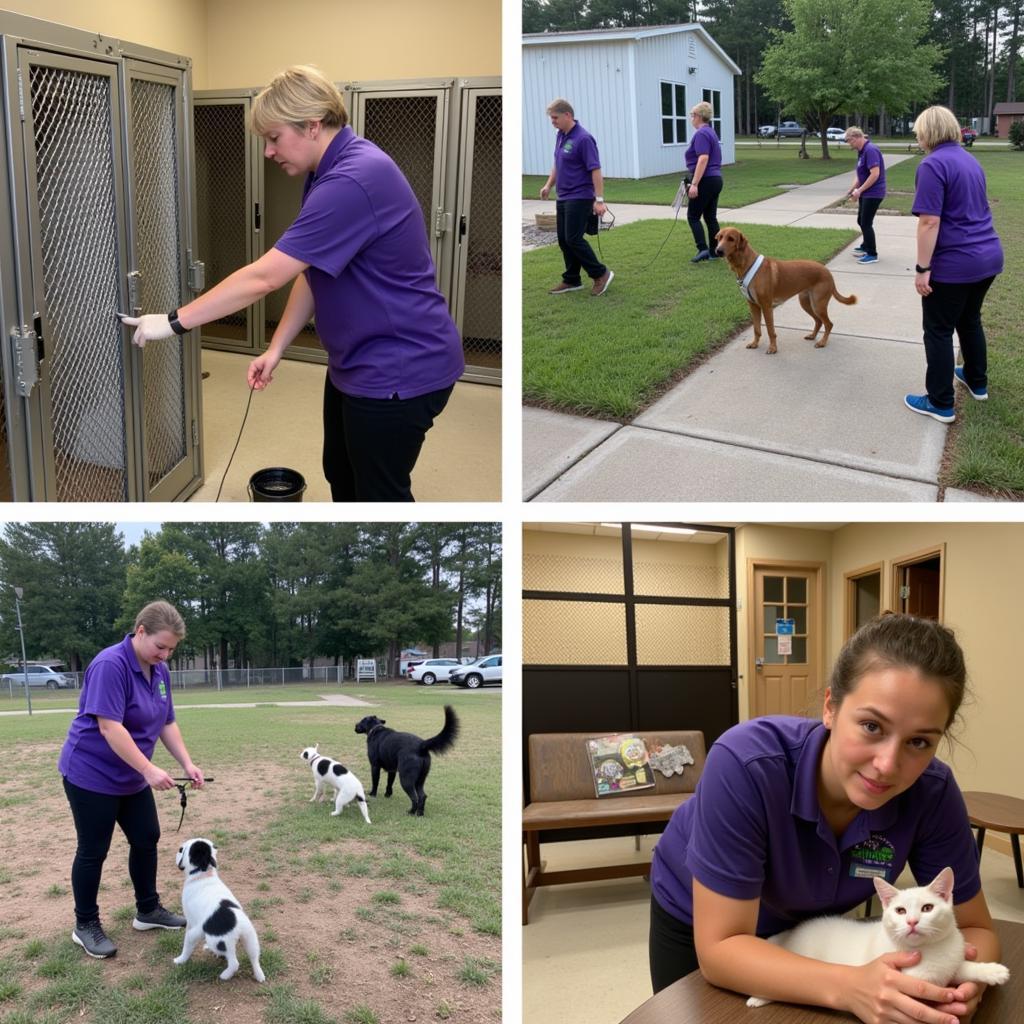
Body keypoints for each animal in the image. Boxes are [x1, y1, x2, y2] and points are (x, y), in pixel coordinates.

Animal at [174, 839, 266, 983]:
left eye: (182, 850)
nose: (178, 850)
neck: (204, 874)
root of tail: (238, 926)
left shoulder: (191, 923)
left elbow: (187, 946)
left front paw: (180, 960)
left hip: (219, 942)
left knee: (234, 963)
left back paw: (225, 975)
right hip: (250, 939)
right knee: (254, 958)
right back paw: (259, 975)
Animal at [716, 226, 860, 354]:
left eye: (731, 239)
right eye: (719, 237)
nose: (718, 250)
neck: (746, 264)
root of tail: (828, 272)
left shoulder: (766, 307)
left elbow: (770, 330)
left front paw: (773, 348)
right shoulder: (753, 305)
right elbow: (757, 329)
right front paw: (755, 344)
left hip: (818, 304)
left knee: (829, 324)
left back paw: (822, 342)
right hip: (806, 303)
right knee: (819, 321)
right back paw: (813, 336)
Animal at [745, 868, 1007, 1003]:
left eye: (927, 908)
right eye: (900, 911)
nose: (912, 922)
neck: (928, 950)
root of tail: (789, 936)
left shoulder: (947, 959)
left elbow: (957, 967)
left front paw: (991, 970)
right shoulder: (909, 975)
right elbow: (931, 978)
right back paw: (759, 997)